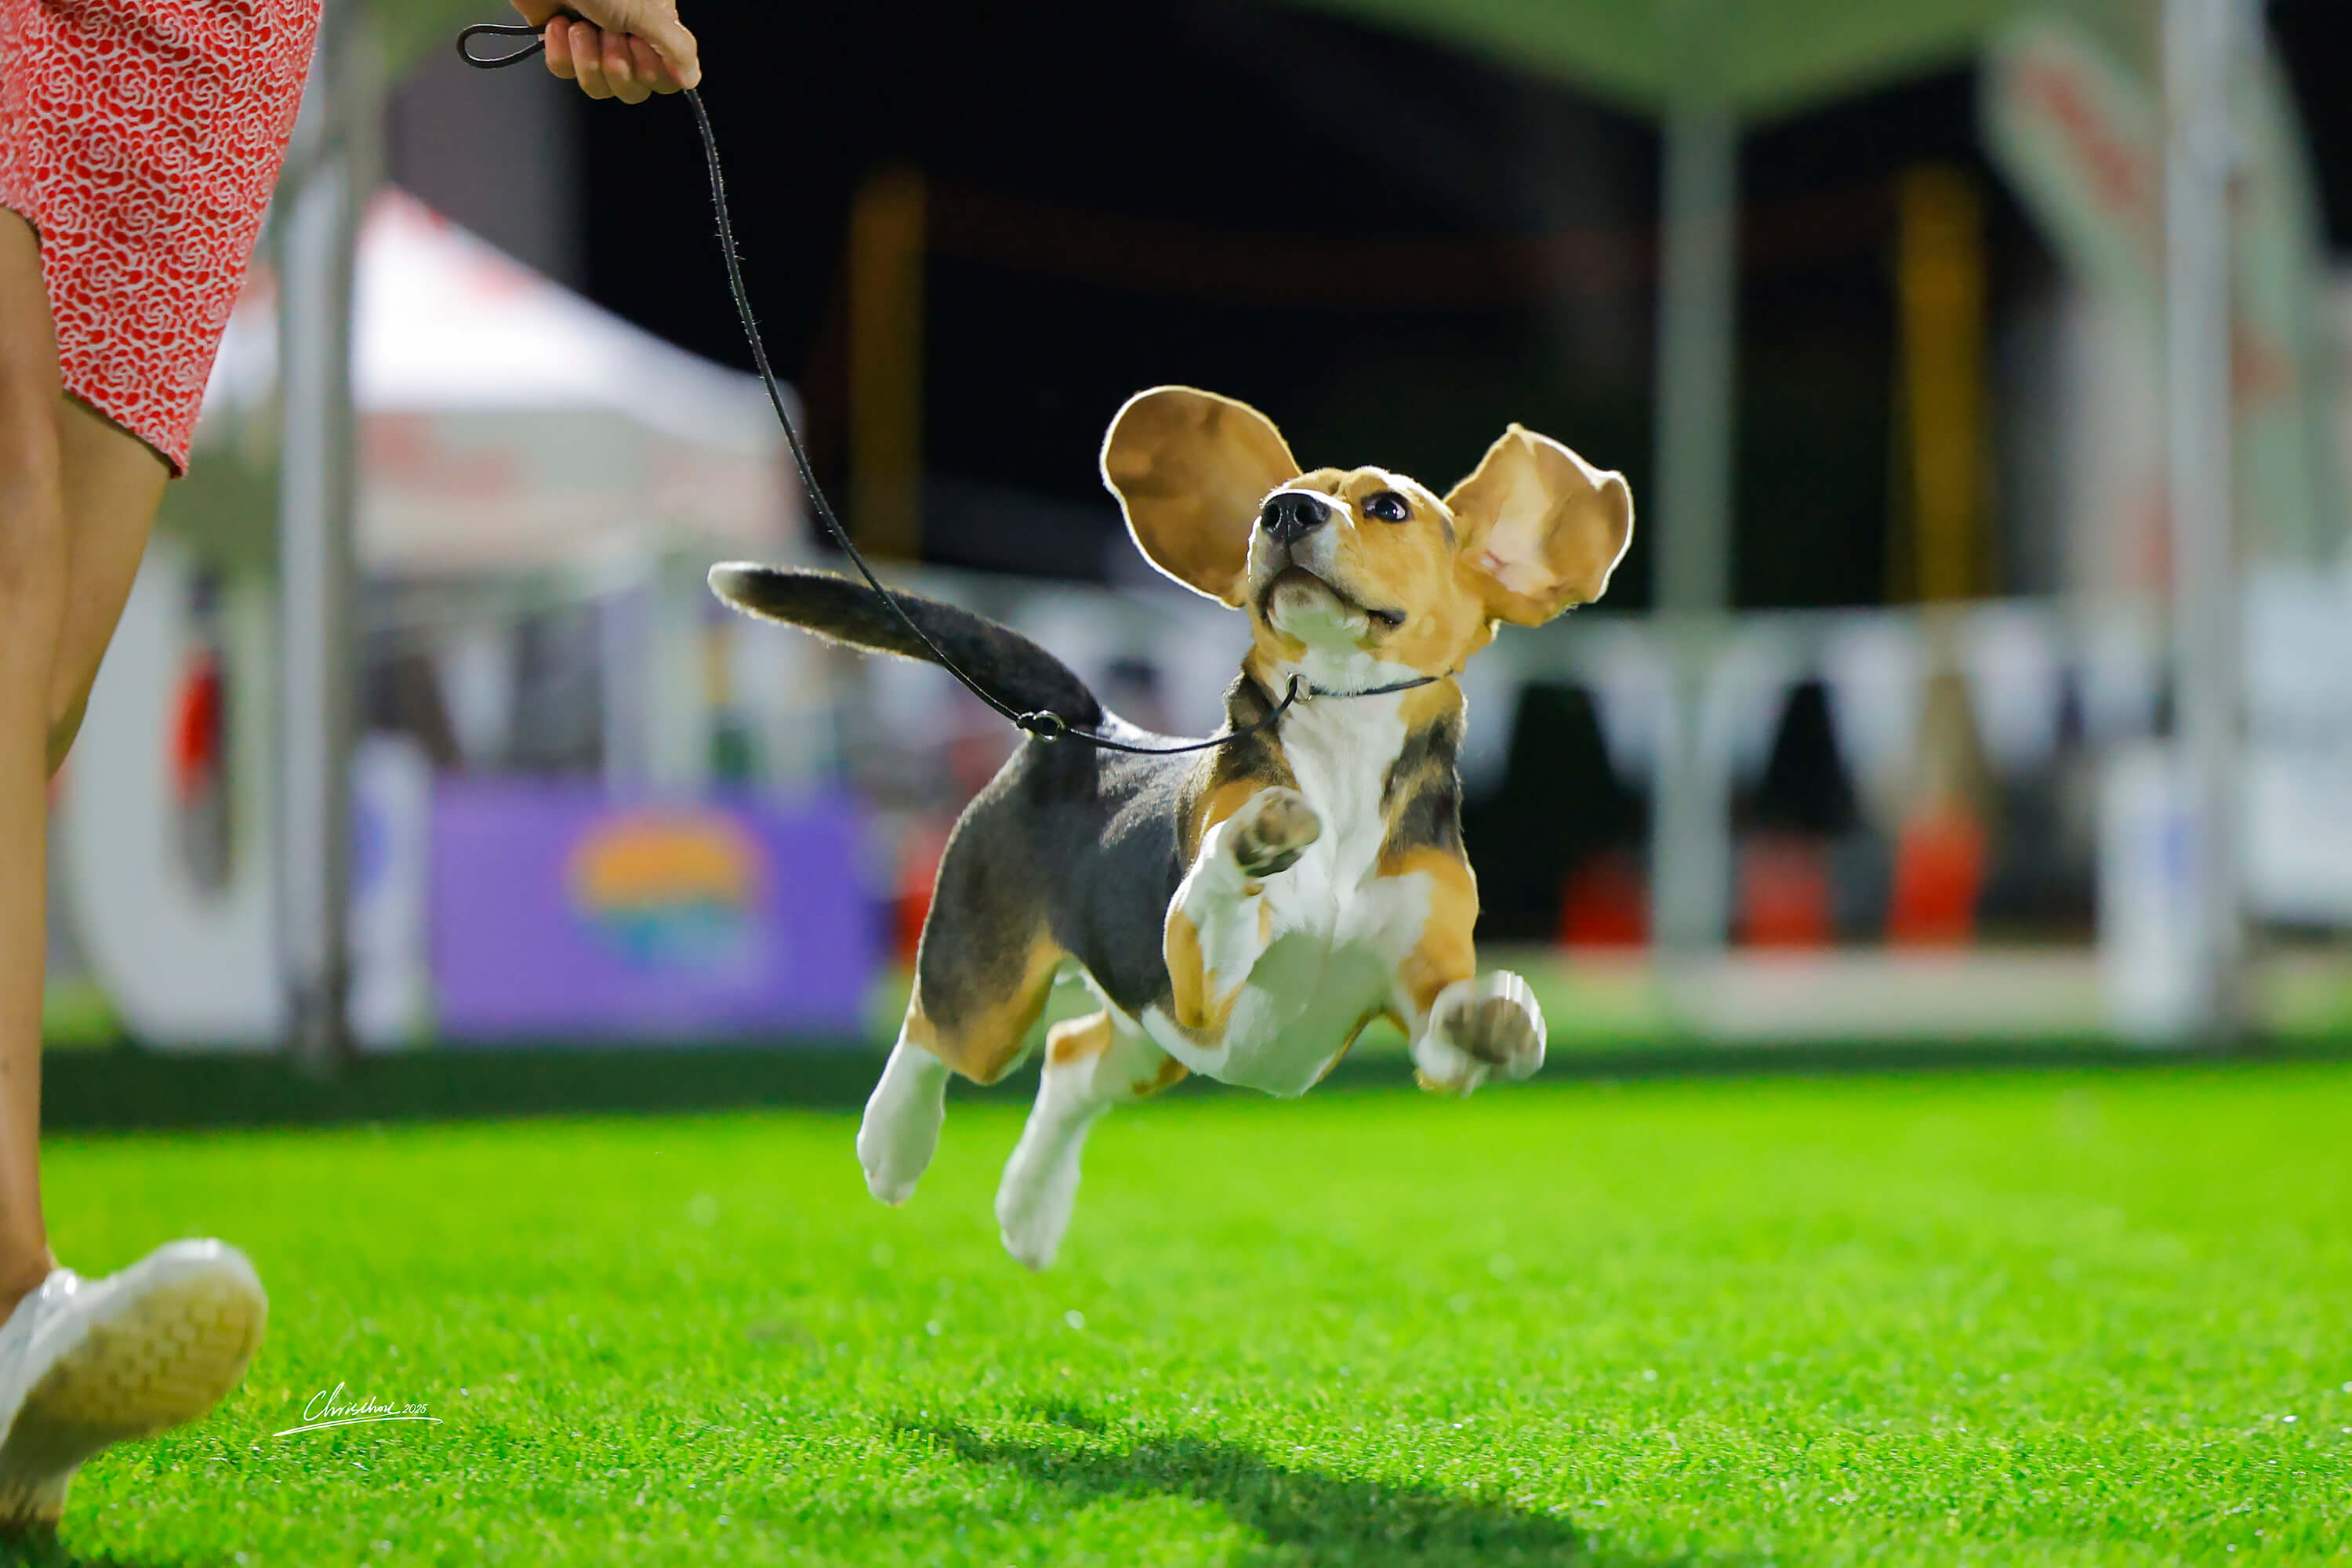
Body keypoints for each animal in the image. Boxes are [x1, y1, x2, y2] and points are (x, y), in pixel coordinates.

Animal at [709, 386, 1633, 1269]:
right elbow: (1219, 889)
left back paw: (1029, 1214)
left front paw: (1500, 1022)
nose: (1285, 512)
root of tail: (1082, 728)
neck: (1343, 734)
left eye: (1387, 507)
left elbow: (1453, 1033)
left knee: (1071, 1060)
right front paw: (1255, 842)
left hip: (1151, 1036)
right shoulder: (1198, 979)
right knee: (933, 1030)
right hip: (1000, 990)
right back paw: (891, 1146)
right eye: (1276, 499)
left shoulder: (1418, 997)